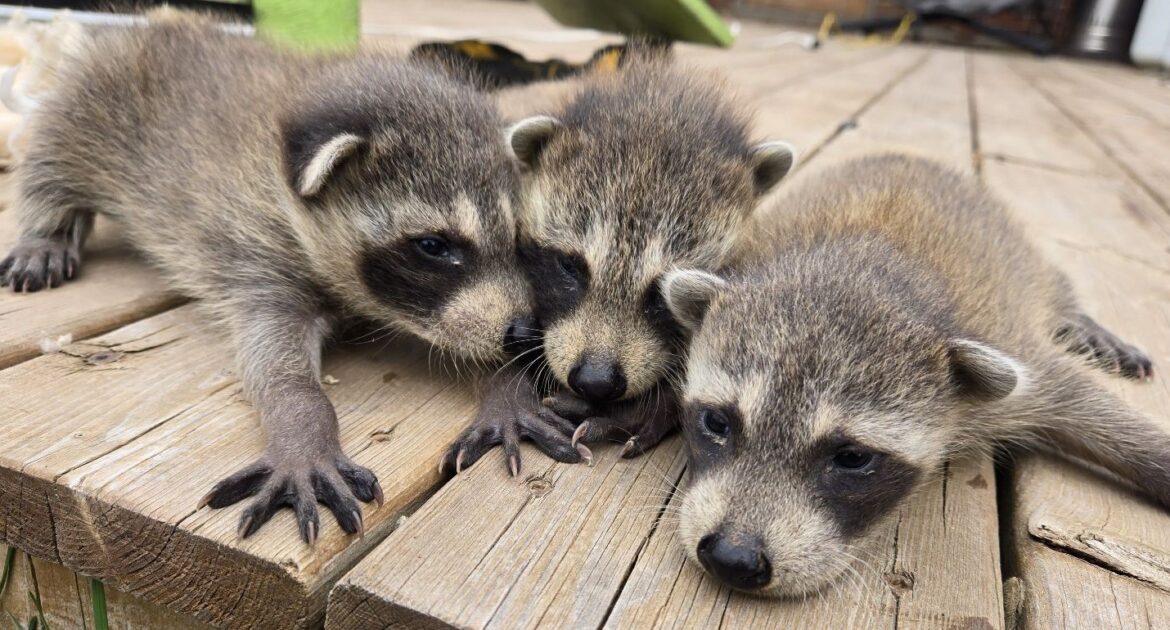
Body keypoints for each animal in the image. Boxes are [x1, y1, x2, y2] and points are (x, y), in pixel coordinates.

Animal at [0, 15, 532, 543]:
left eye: (518, 239)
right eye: (434, 246)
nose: (521, 331)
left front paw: (511, 387)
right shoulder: (258, 255)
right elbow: (275, 367)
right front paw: (302, 431)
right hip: (87, 103)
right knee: (50, 163)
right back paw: (43, 231)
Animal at [440, 57, 797, 476]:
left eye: (664, 287)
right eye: (569, 266)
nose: (594, 382)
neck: (651, 95)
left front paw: (652, 407)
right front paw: (509, 393)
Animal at [661, 154, 1159, 596]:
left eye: (852, 457)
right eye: (717, 422)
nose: (732, 557)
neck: (857, 272)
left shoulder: (1014, 354)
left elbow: (1087, 404)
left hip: (1021, 257)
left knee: (1054, 284)